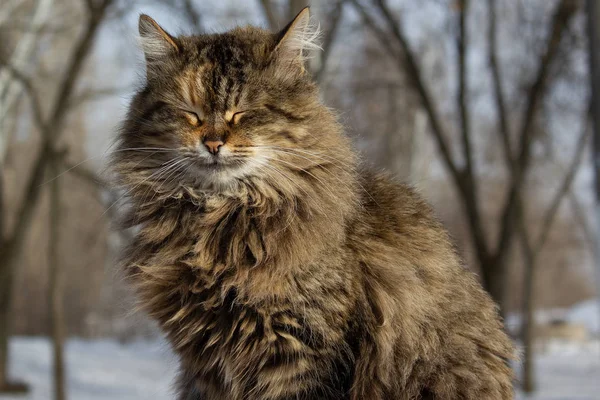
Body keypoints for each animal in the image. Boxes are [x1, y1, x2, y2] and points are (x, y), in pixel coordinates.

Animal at [113, 7, 516, 400]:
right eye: (190, 113)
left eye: (244, 113)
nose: (212, 143)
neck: (221, 222)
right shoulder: (205, 364)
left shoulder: (306, 353)